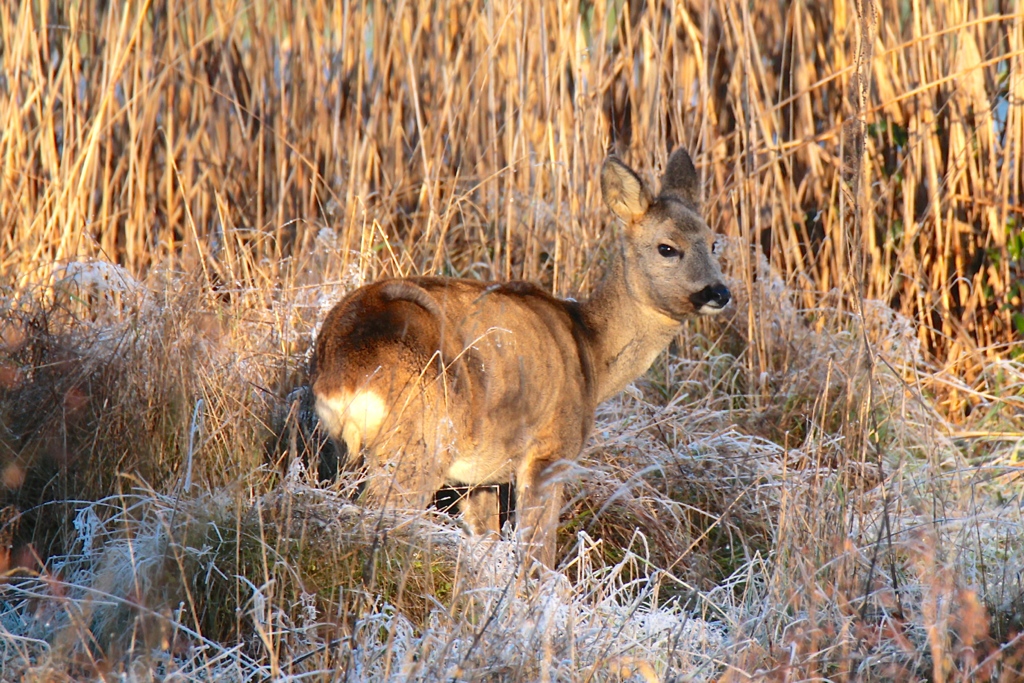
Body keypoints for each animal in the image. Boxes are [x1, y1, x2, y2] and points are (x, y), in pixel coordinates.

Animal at [309, 148, 729, 565]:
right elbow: (537, 555)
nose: (719, 292)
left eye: (713, 243)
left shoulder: (480, 475)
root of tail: (345, 372)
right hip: (421, 440)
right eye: (667, 247)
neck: (591, 350)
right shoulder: (550, 451)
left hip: (348, 449)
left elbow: (487, 538)